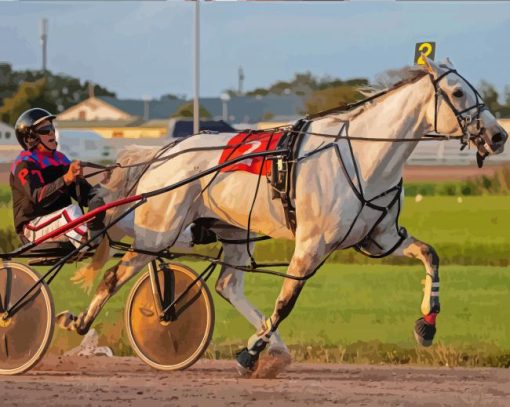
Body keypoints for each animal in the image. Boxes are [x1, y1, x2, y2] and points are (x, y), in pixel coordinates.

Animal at [56, 56, 506, 376]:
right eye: (457, 92)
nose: (499, 135)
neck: (364, 156)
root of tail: (165, 152)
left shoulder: (382, 238)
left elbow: (431, 255)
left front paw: (427, 324)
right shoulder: (312, 244)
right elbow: (287, 300)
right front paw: (250, 354)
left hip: (233, 232)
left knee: (228, 284)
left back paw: (276, 347)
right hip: (158, 233)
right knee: (116, 275)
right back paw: (80, 322)